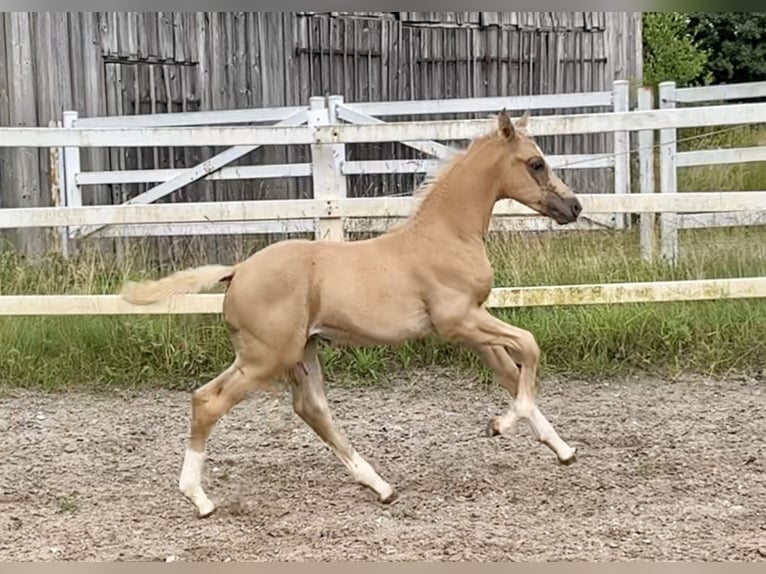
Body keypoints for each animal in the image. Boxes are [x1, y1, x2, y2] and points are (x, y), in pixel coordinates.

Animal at [123, 110, 584, 520]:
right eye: (536, 163)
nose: (574, 207)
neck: (447, 236)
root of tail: (235, 272)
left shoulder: (473, 325)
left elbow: (511, 372)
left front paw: (563, 450)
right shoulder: (459, 322)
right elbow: (529, 346)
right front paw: (498, 426)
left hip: (293, 353)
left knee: (306, 409)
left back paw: (381, 486)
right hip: (267, 359)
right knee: (210, 403)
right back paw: (199, 499)